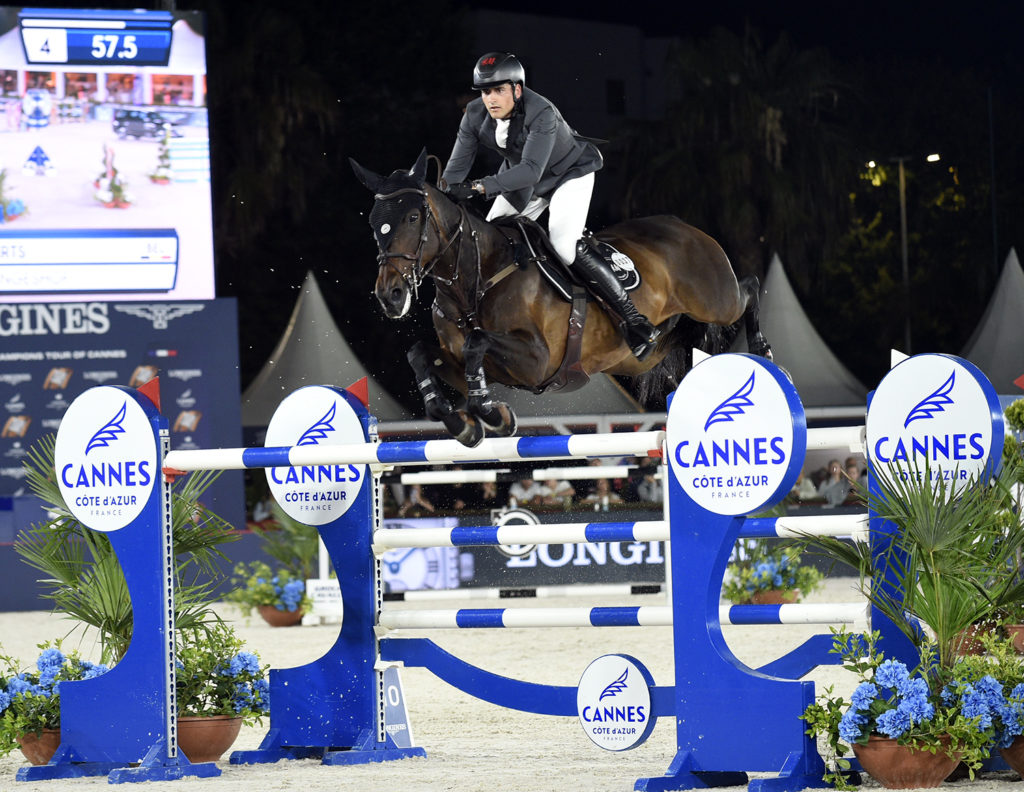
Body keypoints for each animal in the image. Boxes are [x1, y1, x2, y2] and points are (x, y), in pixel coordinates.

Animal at [352, 148, 770, 444]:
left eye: (412, 218)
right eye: (373, 223)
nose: (390, 296)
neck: (473, 283)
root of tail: (682, 225)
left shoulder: (538, 361)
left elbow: (477, 341)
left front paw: (491, 413)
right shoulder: (471, 364)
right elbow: (421, 354)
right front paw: (463, 423)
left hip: (716, 300)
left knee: (748, 287)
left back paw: (762, 350)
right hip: (647, 352)